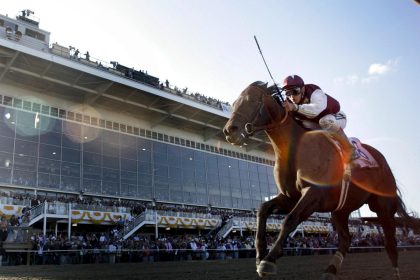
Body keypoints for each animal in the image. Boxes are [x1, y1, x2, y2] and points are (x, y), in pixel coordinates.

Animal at [223, 81, 414, 280]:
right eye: (235, 102)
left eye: (252, 100)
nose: (229, 131)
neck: (296, 149)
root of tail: (382, 160)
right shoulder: (290, 197)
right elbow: (263, 209)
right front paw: (260, 254)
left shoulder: (313, 193)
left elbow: (290, 219)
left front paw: (269, 260)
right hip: (341, 209)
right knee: (346, 238)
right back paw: (330, 270)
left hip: (383, 207)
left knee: (390, 241)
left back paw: (395, 272)